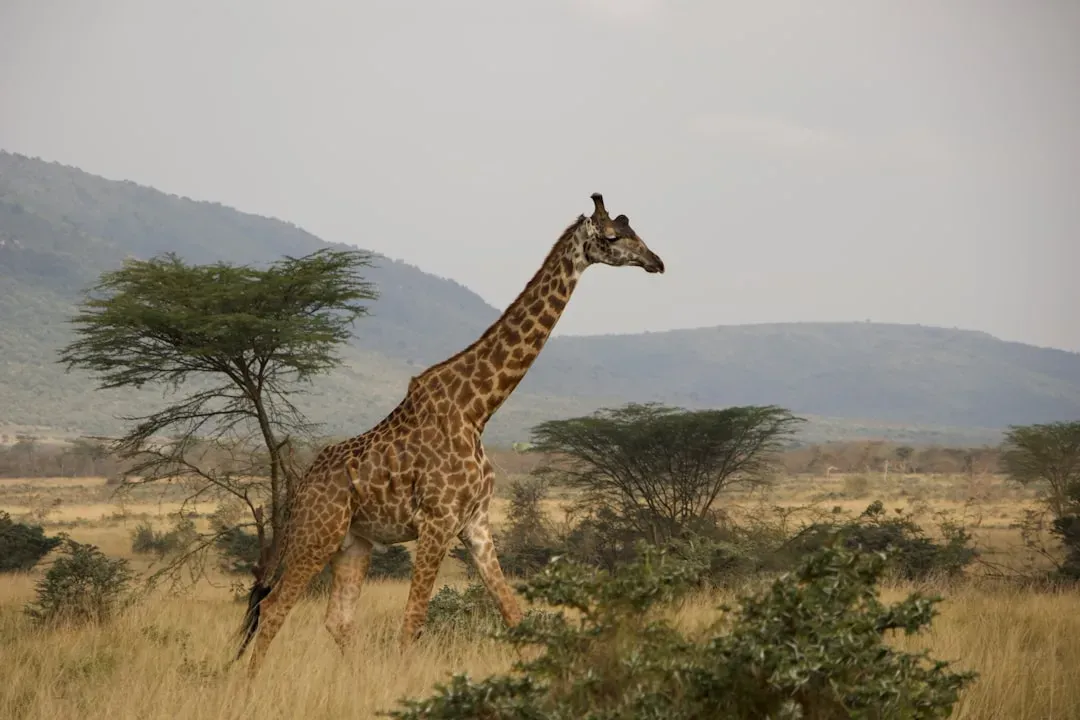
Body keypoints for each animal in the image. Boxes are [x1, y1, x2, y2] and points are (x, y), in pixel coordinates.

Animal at [235, 192, 665, 676]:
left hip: (354, 543)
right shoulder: (437, 521)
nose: (656, 261)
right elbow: (414, 621)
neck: (478, 410)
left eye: (635, 231)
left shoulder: (474, 523)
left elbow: (513, 614)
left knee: (337, 619)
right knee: (274, 608)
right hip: (318, 533)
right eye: (611, 237)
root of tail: (301, 487)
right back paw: (248, 685)